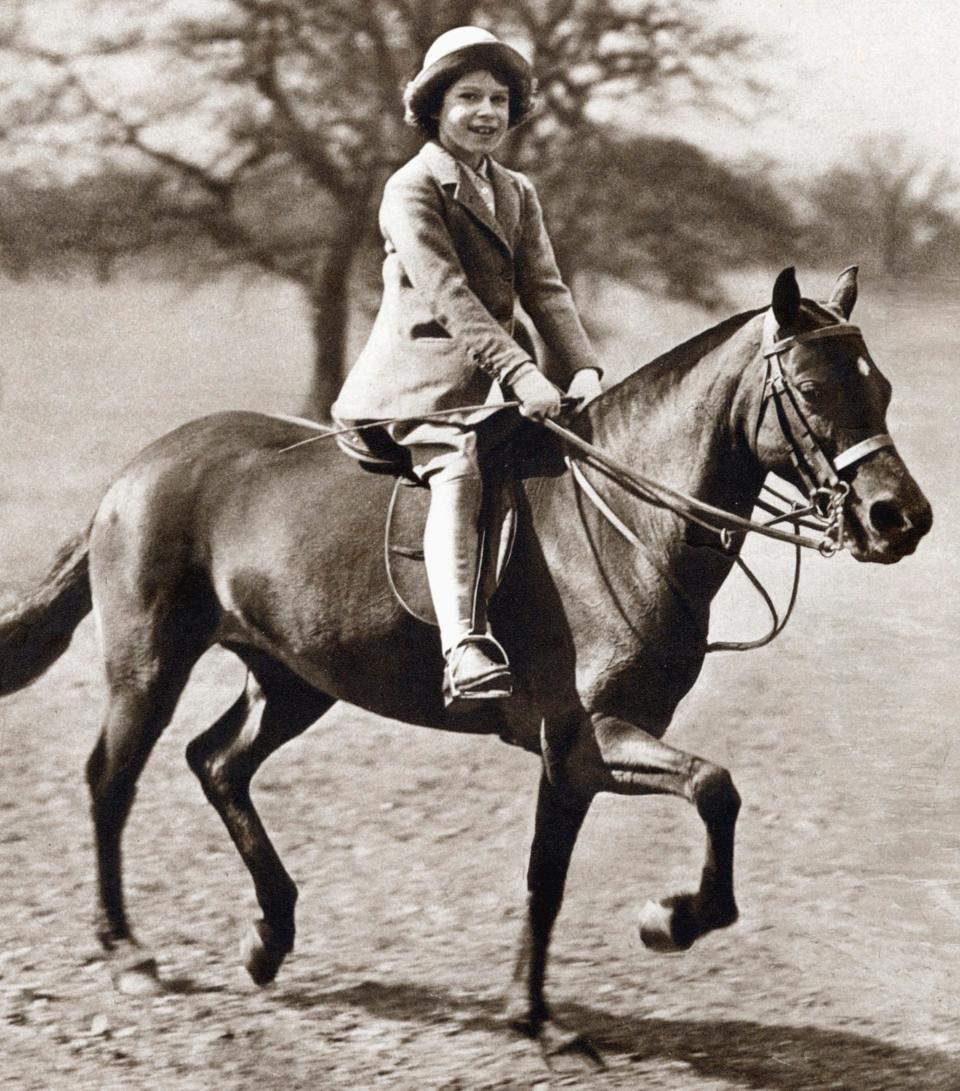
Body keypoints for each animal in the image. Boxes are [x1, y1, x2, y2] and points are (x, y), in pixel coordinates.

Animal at [0, 266, 929, 1056]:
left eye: (880, 386)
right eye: (812, 388)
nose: (901, 519)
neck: (628, 516)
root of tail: (137, 469)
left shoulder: (580, 756)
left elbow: (551, 875)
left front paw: (536, 1012)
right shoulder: (590, 736)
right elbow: (711, 788)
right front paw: (666, 921)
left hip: (295, 679)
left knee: (217, 761)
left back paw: (269, 936)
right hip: (150, 665)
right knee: (112, 781)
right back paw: (129, 952)